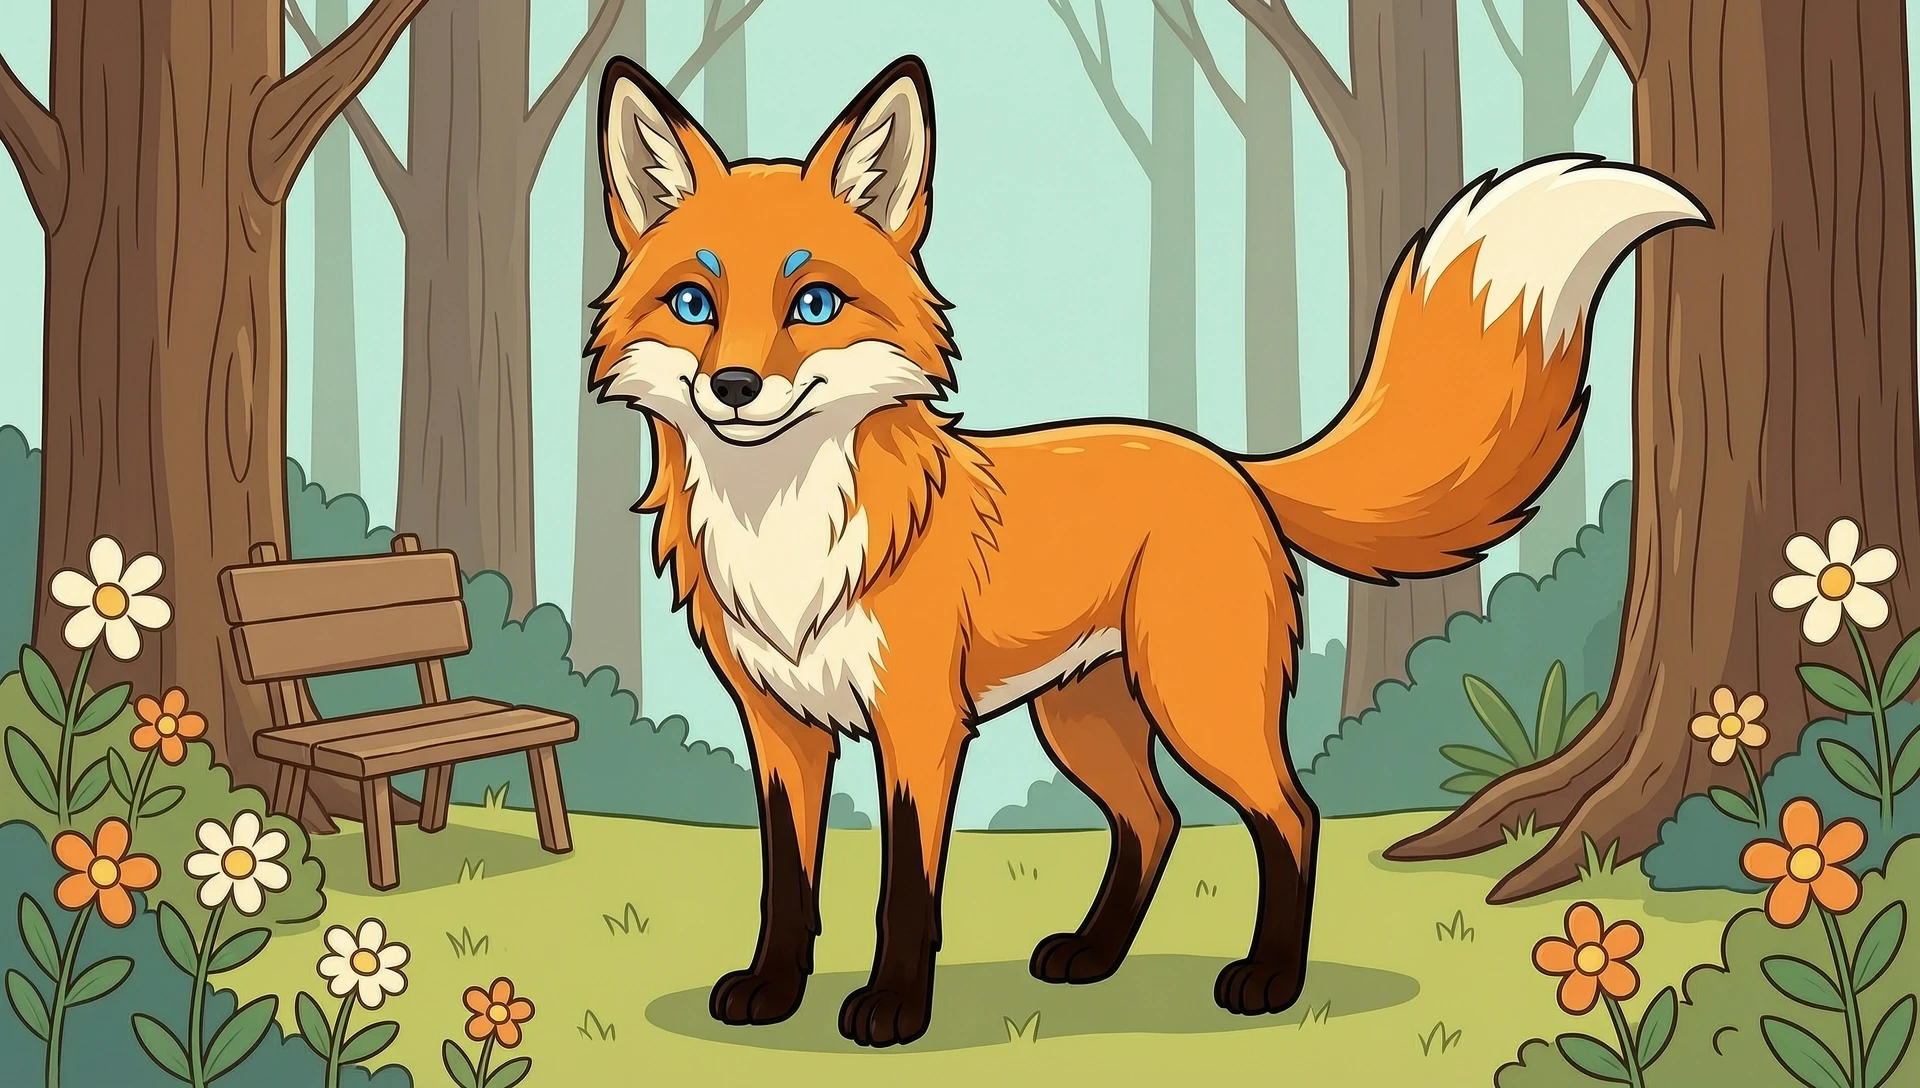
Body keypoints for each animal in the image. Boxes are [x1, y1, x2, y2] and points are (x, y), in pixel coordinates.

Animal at [584, 54, 1707, 1048]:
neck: (782, 534)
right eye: (694, 305)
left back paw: (1270, 980)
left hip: (1197, 701)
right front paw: (774, 992)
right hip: (1086, 715)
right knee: (1155, 820)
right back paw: (1094, 954)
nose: (733, 387)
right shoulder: (781, 728)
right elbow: (787, 882)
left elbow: (906, 889)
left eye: (812, 304)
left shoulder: (921, 728)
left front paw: (895, 1008)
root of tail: (1229, 462)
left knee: (1291, 814)